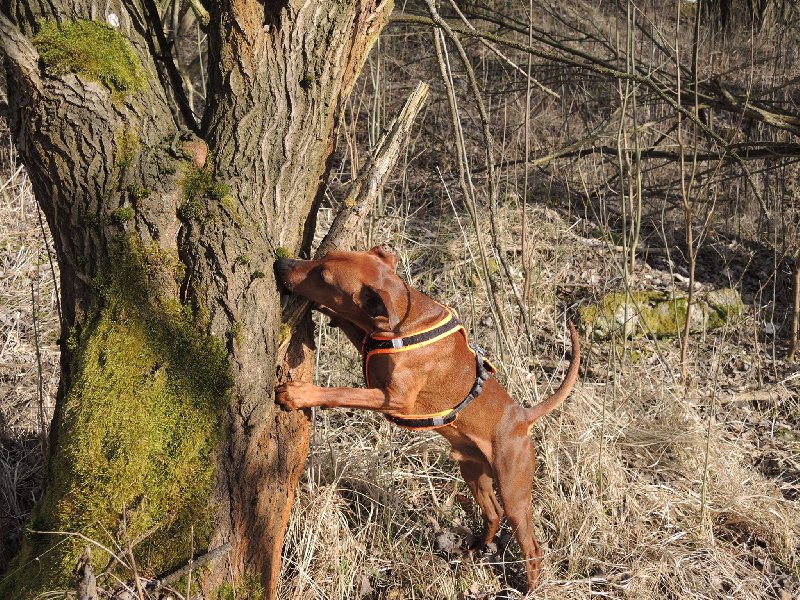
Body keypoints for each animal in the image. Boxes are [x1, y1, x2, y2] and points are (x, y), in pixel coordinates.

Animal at [276, 245, 580, 592]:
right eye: (324, 257)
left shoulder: (394, 398)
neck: (406, 321)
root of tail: (522, 417)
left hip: (514, 490)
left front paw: (300, 394)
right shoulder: (370, 345)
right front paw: (331, 313)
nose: (280, 264)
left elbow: (341, 392)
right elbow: (353, 325)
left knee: (532, 547)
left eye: (324, 277)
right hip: (473, 472)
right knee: (493, 514)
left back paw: (527, 588)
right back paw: (473, 551)